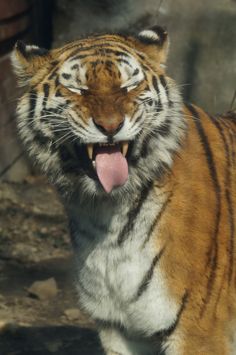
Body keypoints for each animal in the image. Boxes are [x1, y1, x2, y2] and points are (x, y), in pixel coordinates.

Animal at [11, 26, 236, 354]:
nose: (110, 127)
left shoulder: (199, 332)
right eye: (78, 89)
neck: (103, 213)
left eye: (129, 86)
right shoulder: (119, 328)